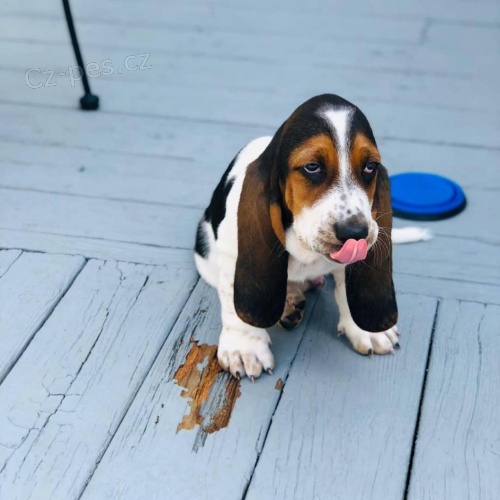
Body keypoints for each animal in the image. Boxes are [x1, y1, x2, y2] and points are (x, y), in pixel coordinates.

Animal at [193, 94, 428, 380]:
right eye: (312, 167)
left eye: (371, 166)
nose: (355, 234)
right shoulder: (232, 253)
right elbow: (232, 300)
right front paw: (244, 347)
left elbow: (345, 289)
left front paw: (364, 330)